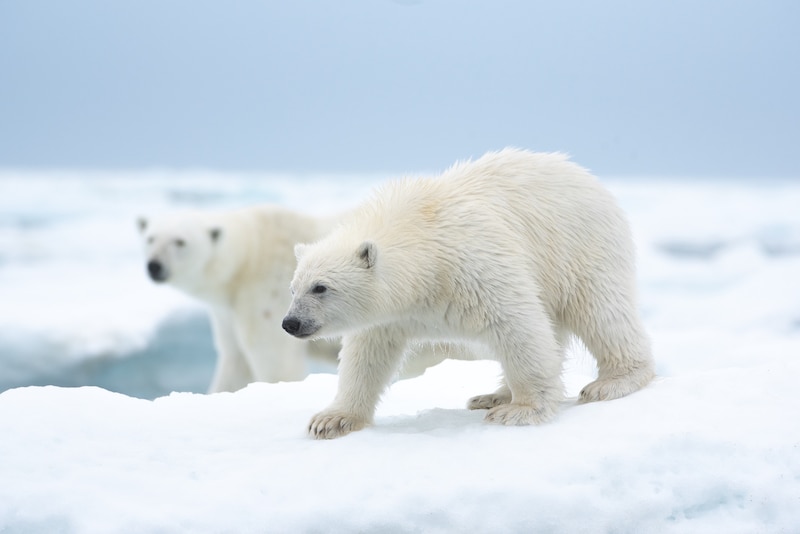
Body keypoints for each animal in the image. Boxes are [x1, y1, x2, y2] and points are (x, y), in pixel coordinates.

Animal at [284, 150, 652, 440]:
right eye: (293, 287)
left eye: (321, 287)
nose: (291, 322)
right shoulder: (391, 314)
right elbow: (367, 355)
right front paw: (332, 420)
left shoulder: (474, 266)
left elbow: (517, 325)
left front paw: (521, 410)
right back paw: (493, 395)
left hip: (580, 249)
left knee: (600, 311)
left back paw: (612, 381)